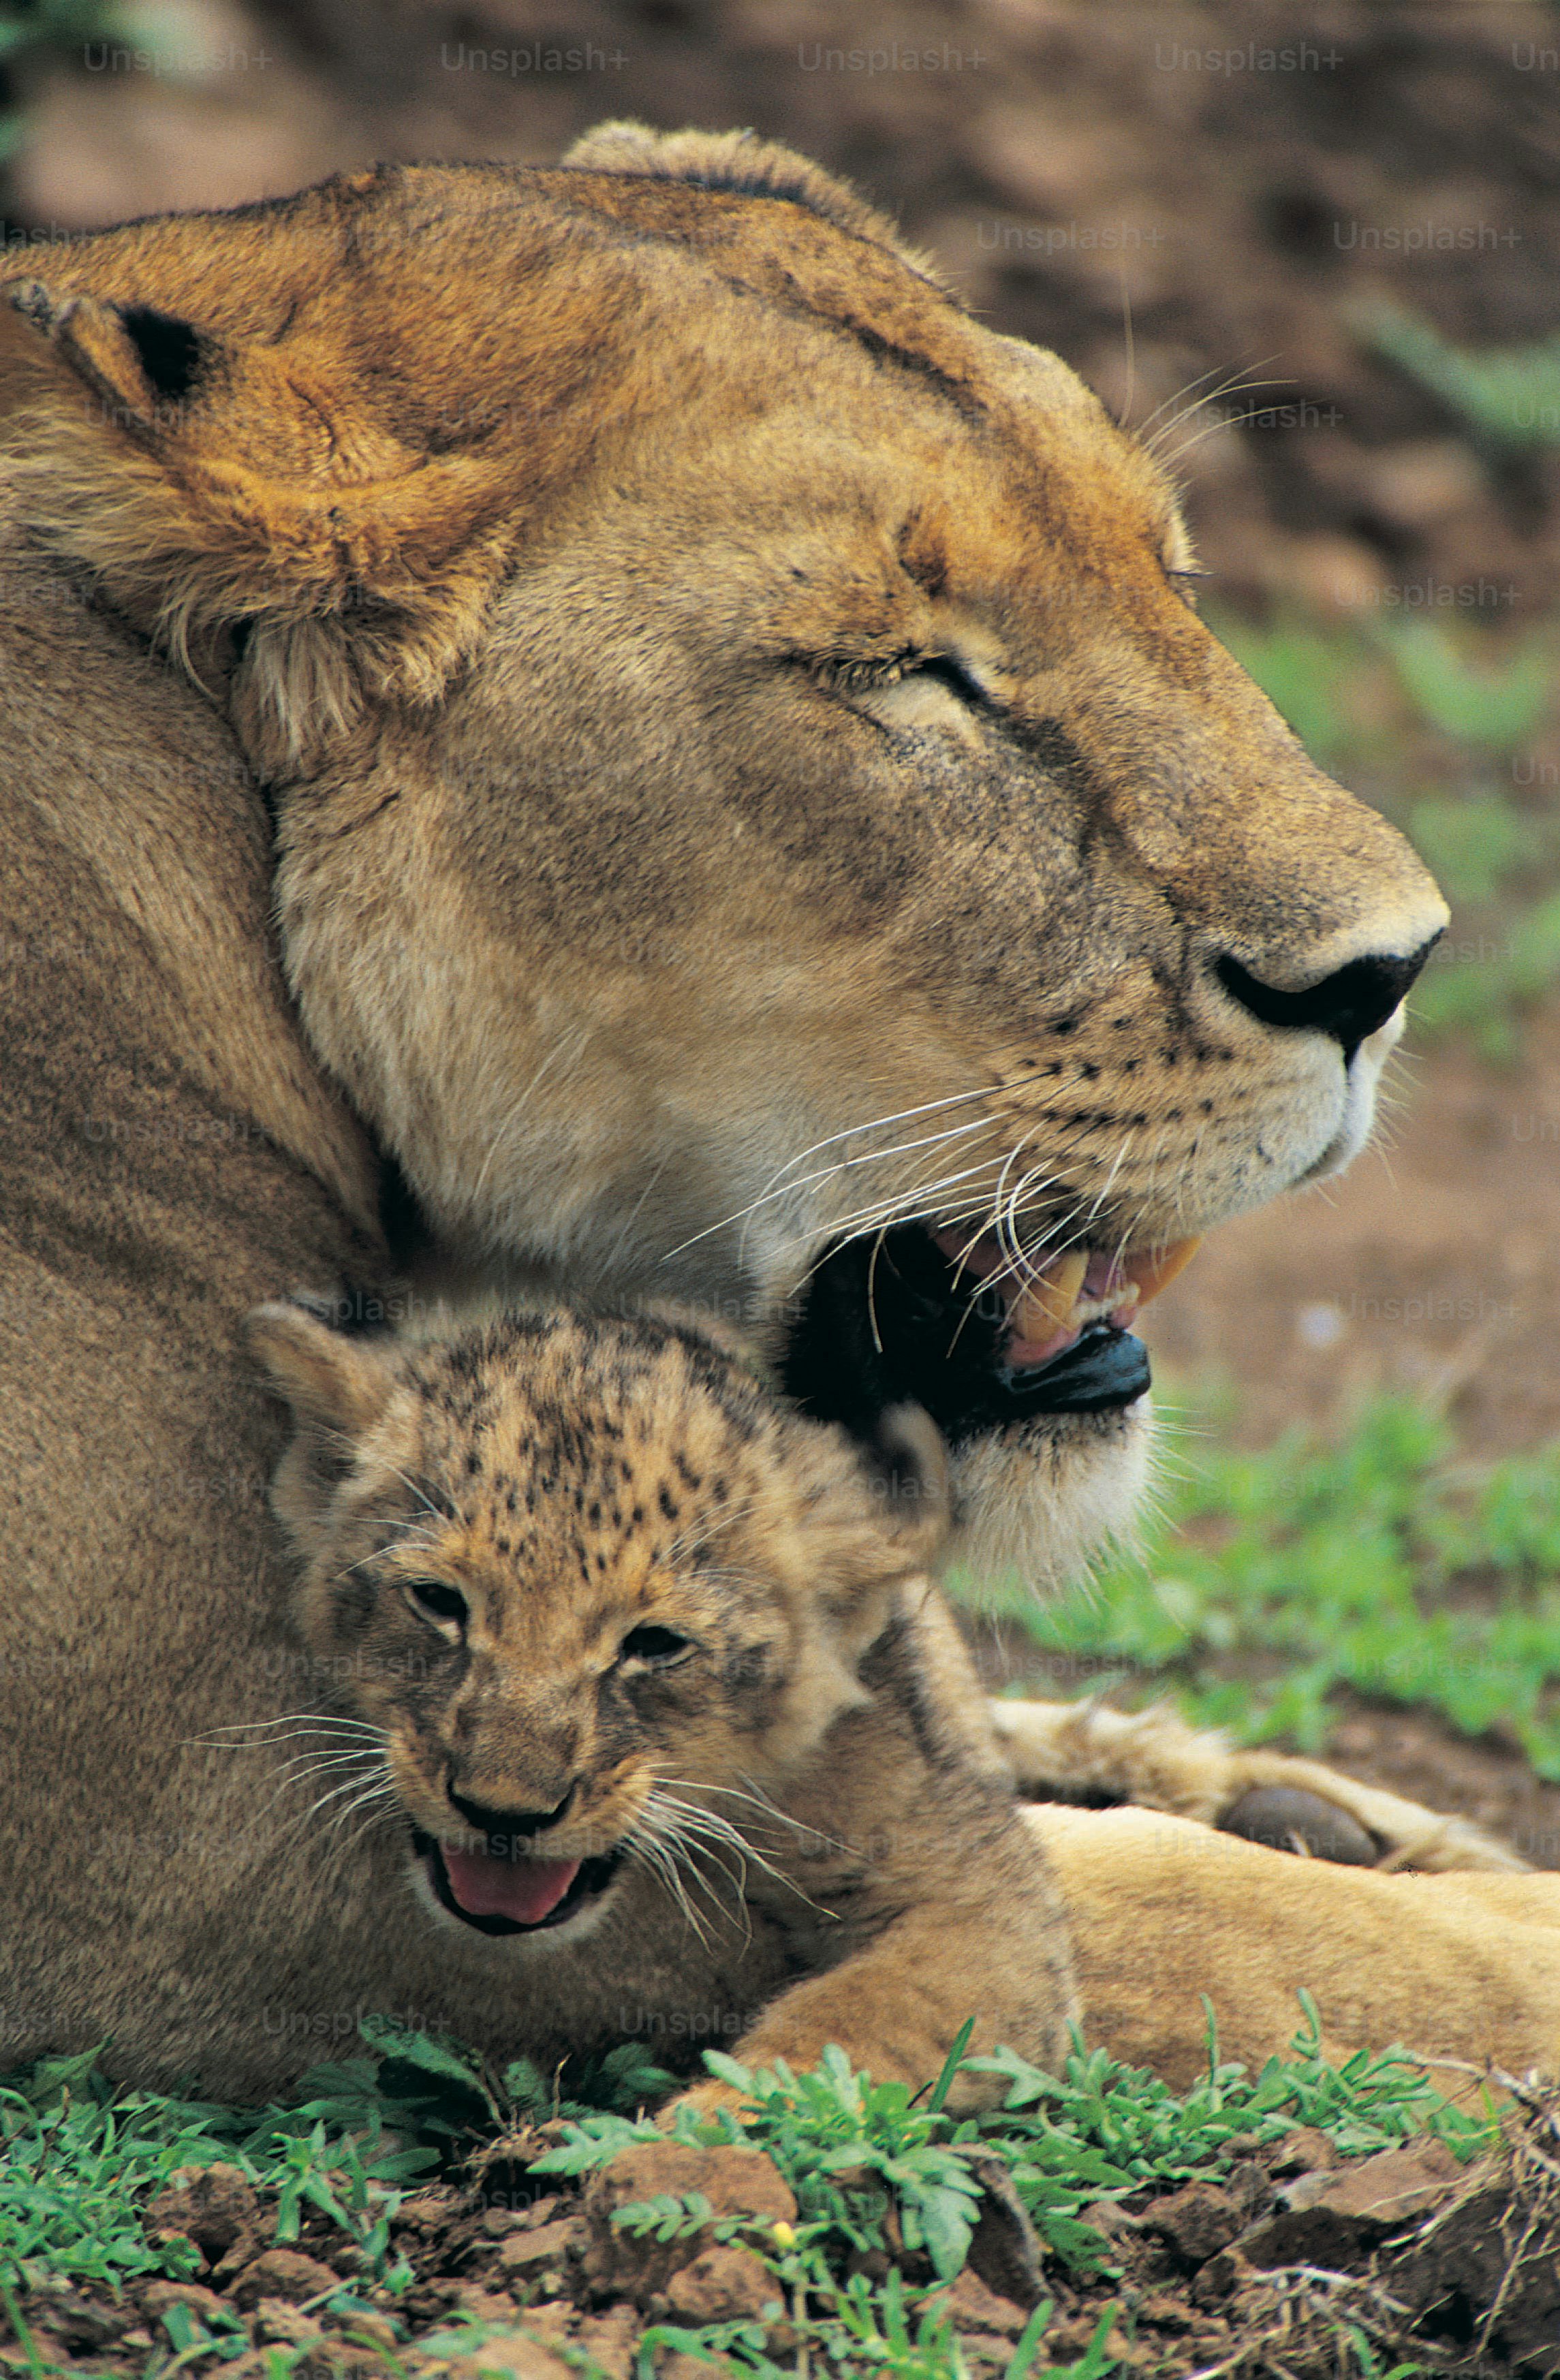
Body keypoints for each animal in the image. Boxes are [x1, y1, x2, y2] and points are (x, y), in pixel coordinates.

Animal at [0, 121, 1550, 2094]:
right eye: (908, 672)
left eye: (1169, 571)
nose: (1390, 970)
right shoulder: (209, 1835)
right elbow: (1201, 1918)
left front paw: (1315, 1800)